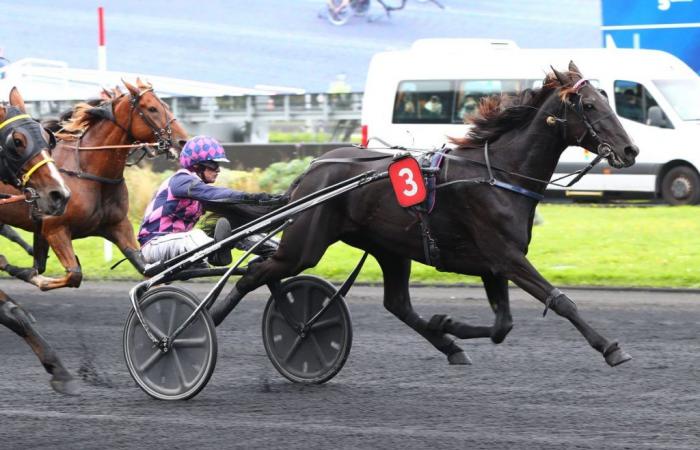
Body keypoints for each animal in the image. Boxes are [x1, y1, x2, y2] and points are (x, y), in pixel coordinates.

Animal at [0, 80, 189, 292]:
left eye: (166, 105)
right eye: (152, 108)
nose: (182, 140)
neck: (89, 172)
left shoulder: (118, 225)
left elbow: (147, 267)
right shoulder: (54, 228)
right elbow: (73, 274)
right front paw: (26, 273)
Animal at [212, 62, 640, 366]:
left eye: (608, 101)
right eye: (590, 105)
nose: (630, 150)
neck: (498, 174)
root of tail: (312, 170)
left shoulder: (495, 264)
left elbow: (503, 325)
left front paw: (448, 324)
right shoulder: (506, 257)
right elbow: (560, 301)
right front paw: (611, 347)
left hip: (389, 249)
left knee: (396, 304)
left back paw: (447, 345)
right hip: (305, 245)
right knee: (254, 274)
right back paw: (208, 323)